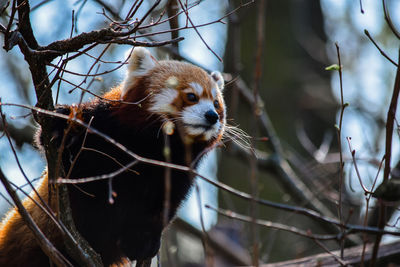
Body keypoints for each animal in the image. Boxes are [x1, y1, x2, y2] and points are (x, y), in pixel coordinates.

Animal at [0, 48, 225, 267]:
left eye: (216, 103)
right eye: (192, 96)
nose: (212, 116)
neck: (152, 148)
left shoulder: (176, 174)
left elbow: (159, 209)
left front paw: (143, 241)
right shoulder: (102, 132)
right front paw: (61, 126)